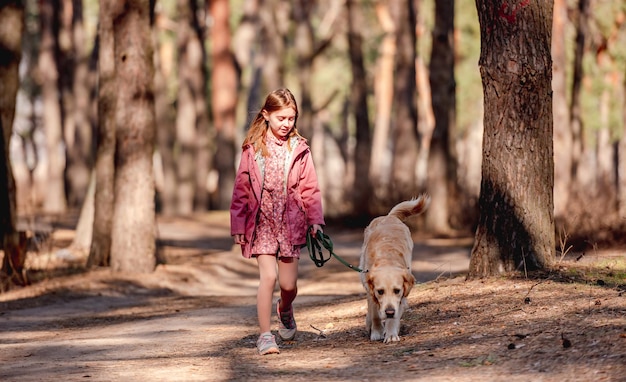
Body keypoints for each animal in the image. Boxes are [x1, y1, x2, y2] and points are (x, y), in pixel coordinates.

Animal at [360, 195, 428, 342]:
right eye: (380, 291)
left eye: (397, 290)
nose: (389, 312)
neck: (387, 259)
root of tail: (389, 216)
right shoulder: (371, 290)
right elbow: (375, 312)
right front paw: (377, 331)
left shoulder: (402, 294)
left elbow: (394, 314)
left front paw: (391, 333)